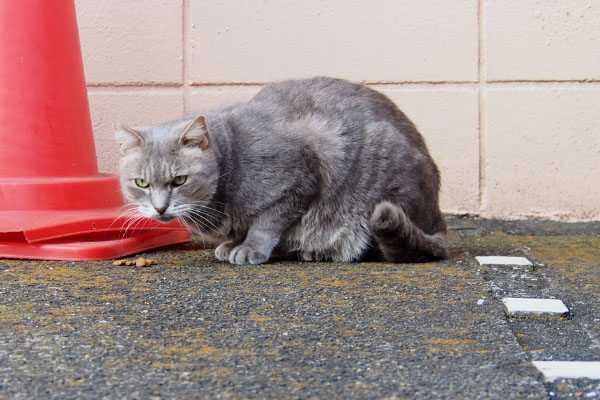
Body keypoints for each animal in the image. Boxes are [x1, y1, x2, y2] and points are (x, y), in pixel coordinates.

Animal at [115, 76, 448, 264]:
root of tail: (437, 219)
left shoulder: (299, 180)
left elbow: (266, 223)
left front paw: (250, 248)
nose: (160, 208)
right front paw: (232, 244)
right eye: (141, 183)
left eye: (180, 180)